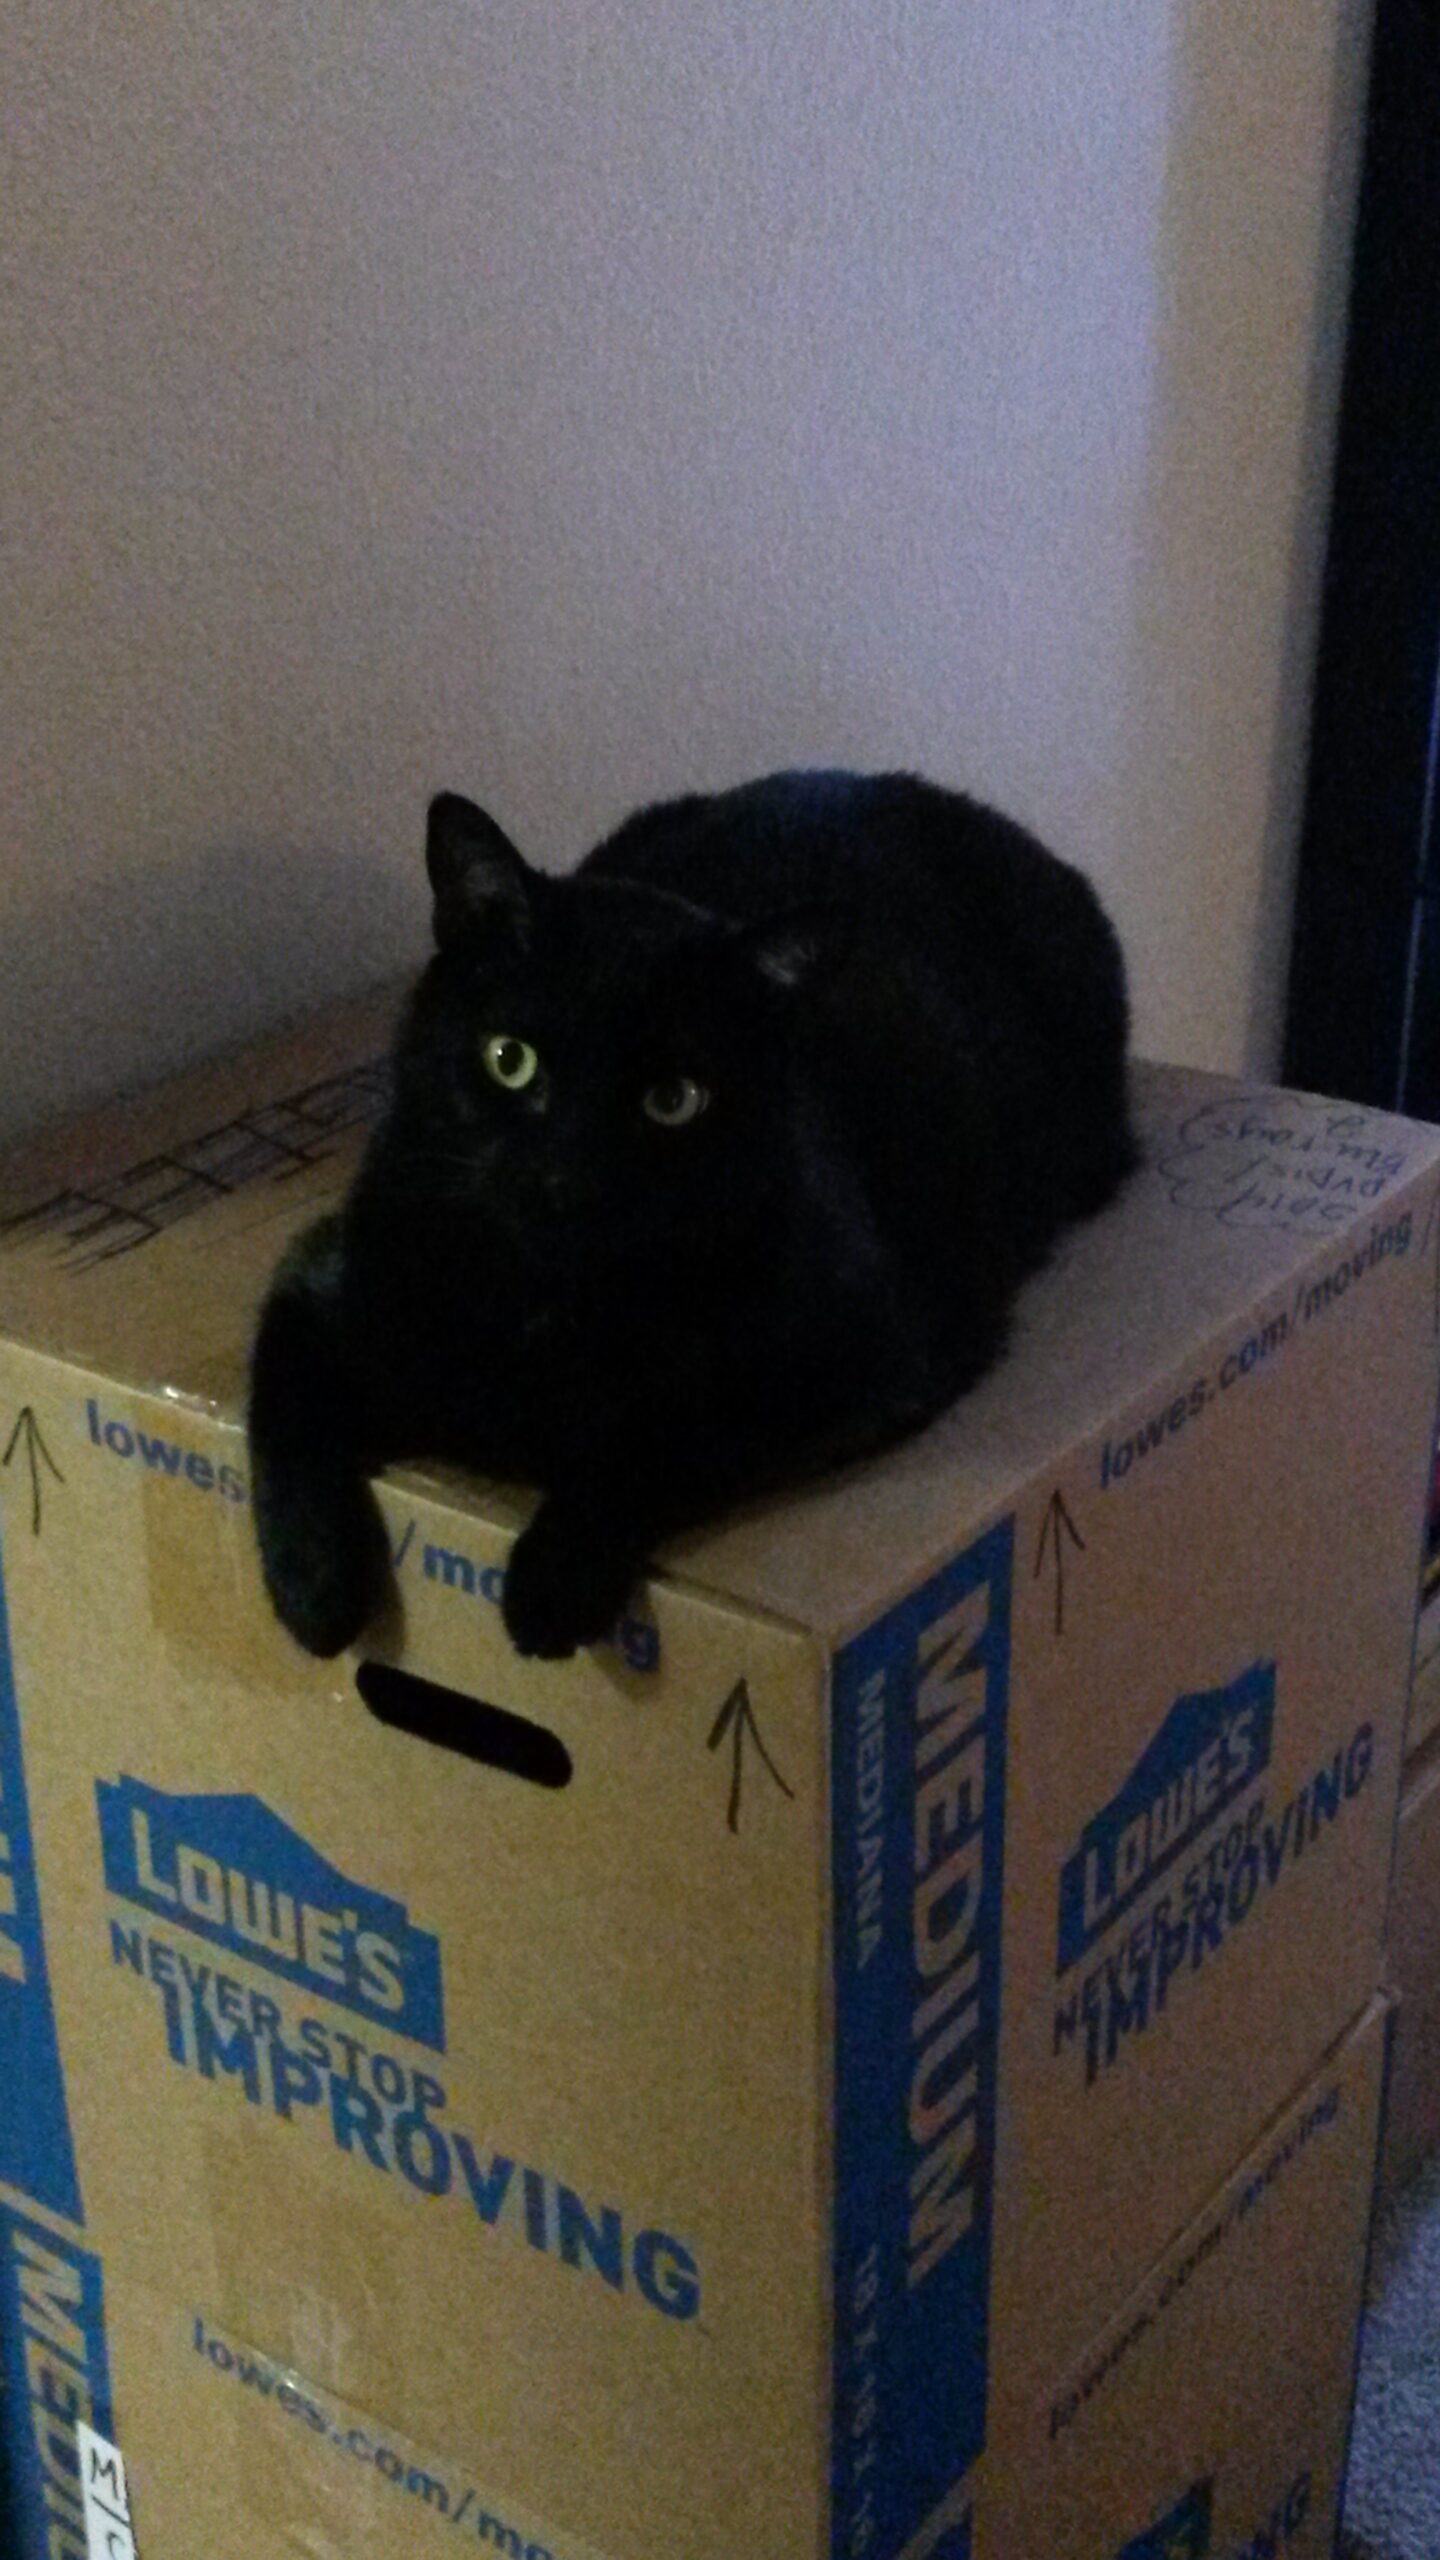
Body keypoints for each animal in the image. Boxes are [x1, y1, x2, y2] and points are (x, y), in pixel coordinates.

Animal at [248, 769, 1136, 1663]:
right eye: (509, 1059)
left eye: (673, 1100)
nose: (566, 1177)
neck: (547, 1307)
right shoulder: (318, 1283)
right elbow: (285, 1418)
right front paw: (314, 1590)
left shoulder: (858, 1362)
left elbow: (664, 1433)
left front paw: (554, 1579)